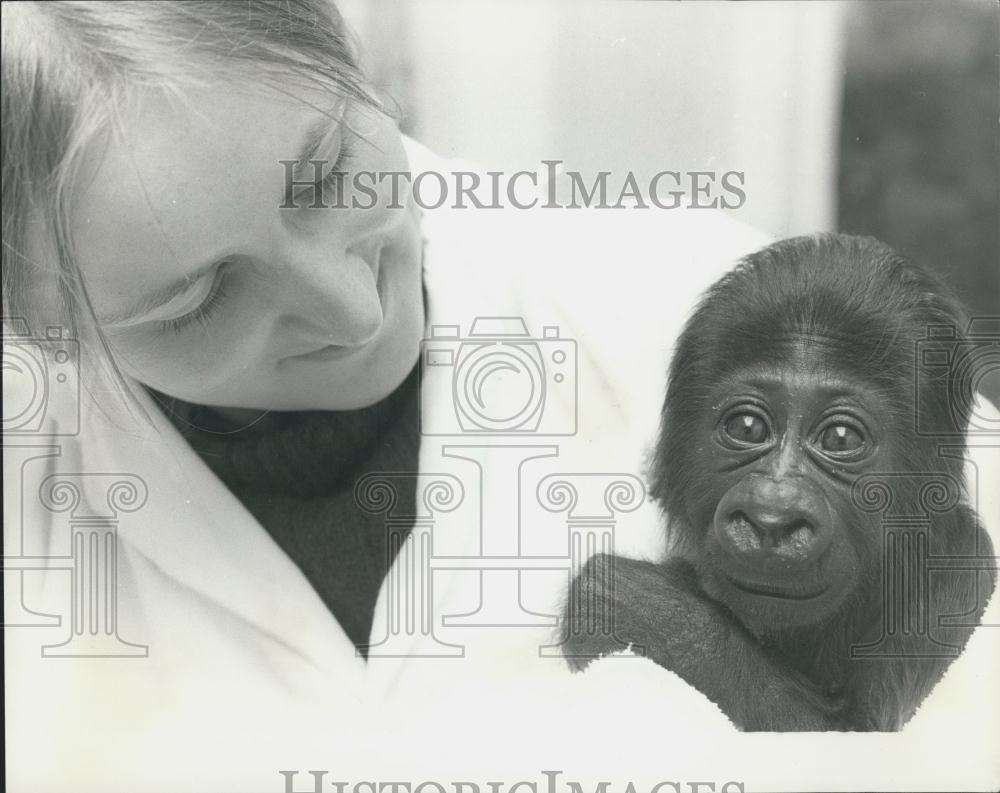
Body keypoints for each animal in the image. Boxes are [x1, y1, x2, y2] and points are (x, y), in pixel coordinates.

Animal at [568, 234, 996, 732]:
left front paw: (640, 607)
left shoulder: (963, 570)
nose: (771, 518)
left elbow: (860, 732)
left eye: (840, 438)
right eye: (748, 427)